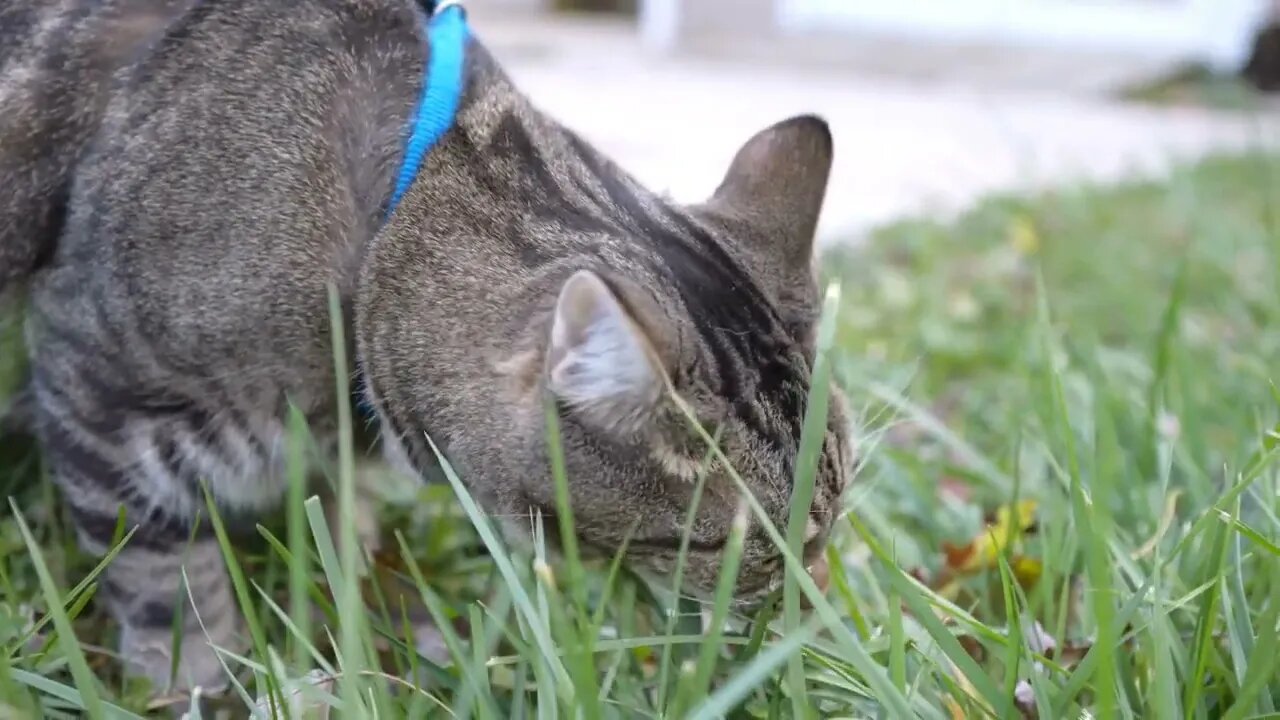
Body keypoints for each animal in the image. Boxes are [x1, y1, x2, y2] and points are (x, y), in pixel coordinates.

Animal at [7, 0, 860, 691]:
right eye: (735, 549)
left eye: (836, 510)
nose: (817, 591)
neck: (378, 234)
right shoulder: (100, 402)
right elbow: (166, 586)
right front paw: (201, 686)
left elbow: (337, 527)